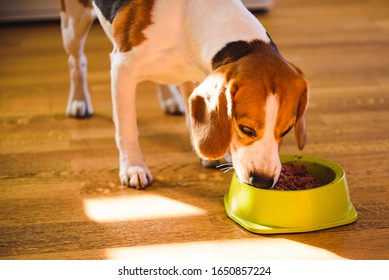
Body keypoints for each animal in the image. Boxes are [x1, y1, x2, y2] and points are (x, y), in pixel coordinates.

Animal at [60, 0, 308, 190]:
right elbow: (127, 129)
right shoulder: (122, 69)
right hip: (73, 24)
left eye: (286, 130)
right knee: (76, 61)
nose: (263, 181)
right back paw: (79, 101)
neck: (191, 20)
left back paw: (169, 99)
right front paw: (133, 167)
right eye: (246, 129)